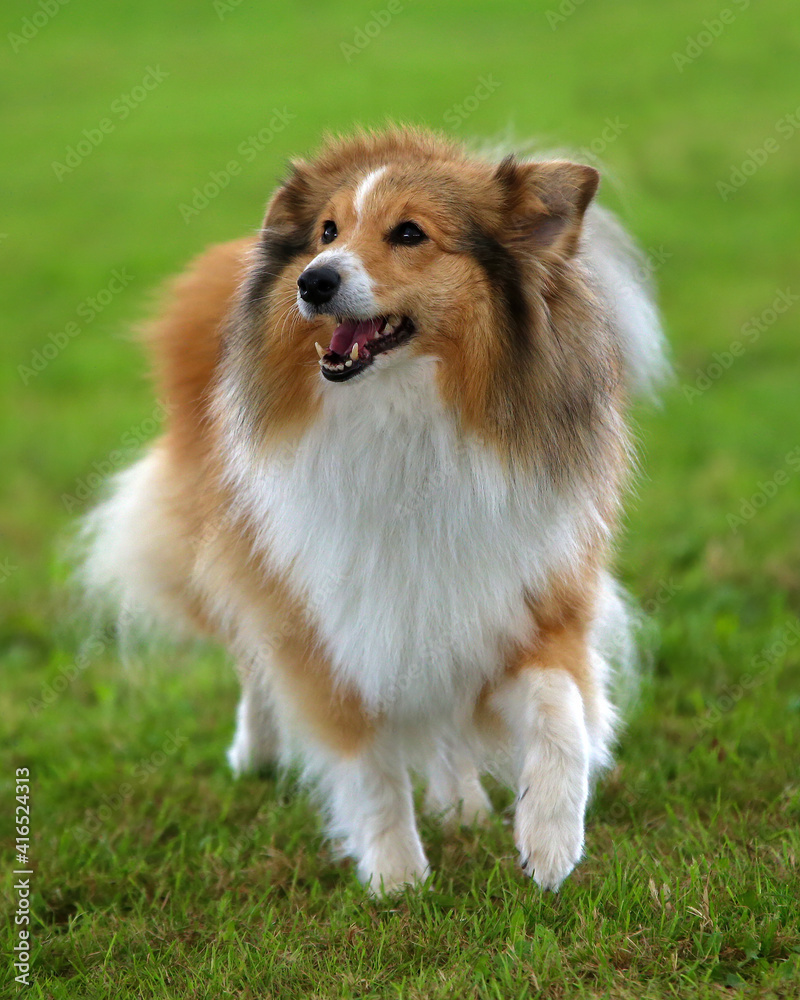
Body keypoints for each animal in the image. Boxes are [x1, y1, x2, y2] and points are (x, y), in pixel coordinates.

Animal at [83, 127, 668, 900]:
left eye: (410, 233)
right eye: (328, 232)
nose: (314, 281)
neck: (406, 414)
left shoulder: (525, 592)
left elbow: (562, 709)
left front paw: (548, 838)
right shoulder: (325, 615)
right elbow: (367, 761)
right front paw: (397, 876)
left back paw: (460, 800)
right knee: (251, 658)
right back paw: (258, 752)